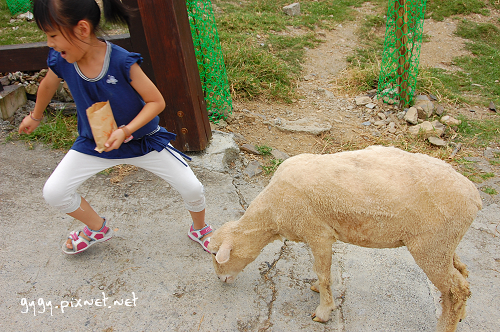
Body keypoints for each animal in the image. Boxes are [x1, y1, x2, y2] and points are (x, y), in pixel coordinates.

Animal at [207, 146, 480, 332]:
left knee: (456, 290)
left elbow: (323, 273)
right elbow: (321, 272)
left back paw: (445, 326)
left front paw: (323, 311)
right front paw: (318, 291)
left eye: (215, 255)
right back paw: (461, 315)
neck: (272, 213)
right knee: (462, 275)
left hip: (430, 246)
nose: (221, 280)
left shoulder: (318, 232)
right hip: (445, 242)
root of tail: (474, 197)